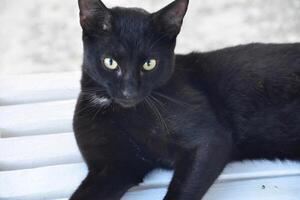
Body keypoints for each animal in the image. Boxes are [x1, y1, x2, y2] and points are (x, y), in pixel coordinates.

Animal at [69, 0, 300, 199]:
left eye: (149, 64)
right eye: (110, 62)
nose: (129, 92)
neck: (121, 113)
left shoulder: (210, 140)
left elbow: (180, 192)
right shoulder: (113, 168)